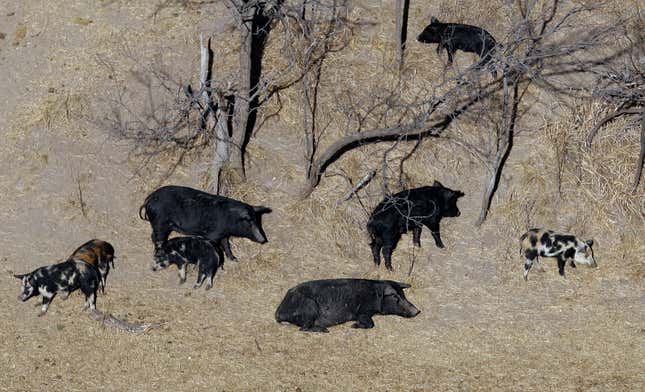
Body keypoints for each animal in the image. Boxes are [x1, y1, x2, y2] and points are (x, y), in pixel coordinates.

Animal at [138, 185, 272, 264]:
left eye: (257, 221)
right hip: (160, 224)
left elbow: (226, 245)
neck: (230, 219)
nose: (263, 239)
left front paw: (234, 259)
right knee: (156, 239)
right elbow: (216, 248)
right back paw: (158, 256)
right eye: (249, 222)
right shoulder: (212, 235)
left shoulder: (223, 234)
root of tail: (149, 199)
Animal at [274, 278, 420, 332]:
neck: (374, 295)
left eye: (403, 294)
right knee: (303, 328)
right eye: (395, 296)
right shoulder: (362, 310)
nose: (417, 311)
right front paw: (353, 326)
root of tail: (279, 312)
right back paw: (325, 330)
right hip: (309, 306)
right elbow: (371, 324)